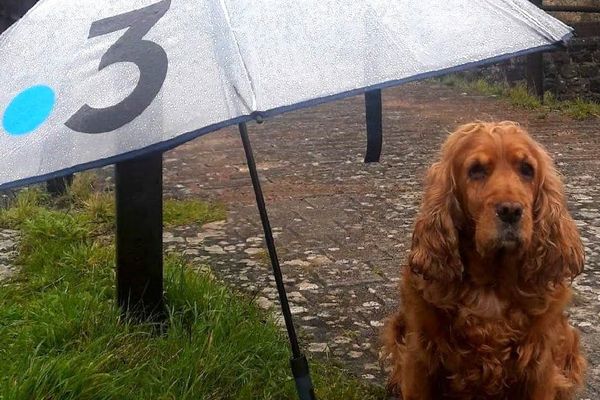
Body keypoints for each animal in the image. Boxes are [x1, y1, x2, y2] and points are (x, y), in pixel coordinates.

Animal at [382, 122, 584, 400]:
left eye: (527, 169)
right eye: (476, 170)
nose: (511, 211)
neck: (491, 286)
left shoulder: (540, 362)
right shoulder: (420, 355)